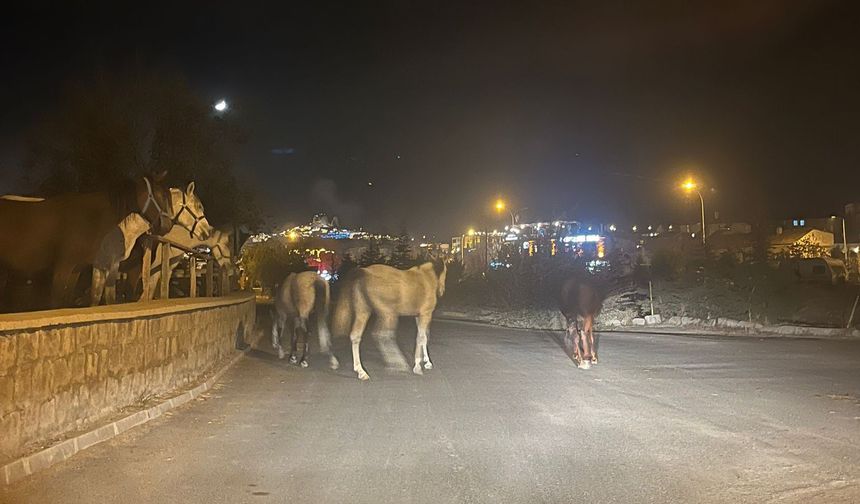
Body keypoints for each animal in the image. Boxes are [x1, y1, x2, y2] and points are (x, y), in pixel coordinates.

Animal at [0, 172, 173, 308]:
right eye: (161, 196)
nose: (168, 225)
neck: (91, 217)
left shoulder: (81, 267)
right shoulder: (64, 265)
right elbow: (57, 302)